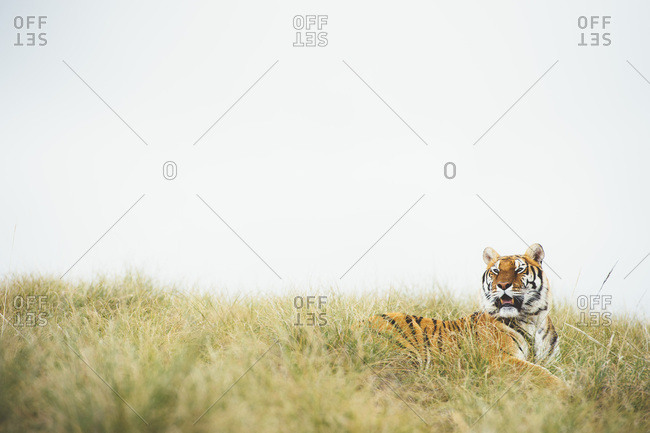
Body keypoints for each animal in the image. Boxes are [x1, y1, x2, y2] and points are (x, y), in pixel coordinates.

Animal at [368, 243, 562, 386]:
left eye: (518, 270)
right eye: (496, 271)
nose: (502, 285)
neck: (533, 319)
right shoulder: (499, 359)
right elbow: (541, 373)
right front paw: (566, 391)